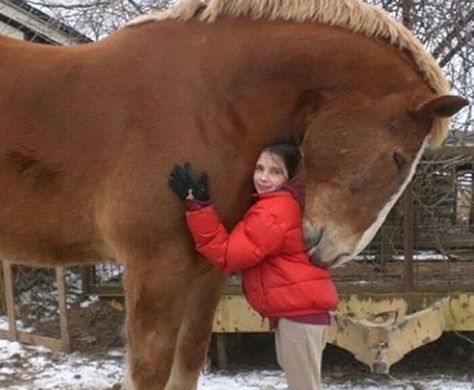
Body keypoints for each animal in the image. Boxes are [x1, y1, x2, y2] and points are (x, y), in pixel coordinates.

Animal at [0, 0, 466, 388]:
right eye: (399, 158)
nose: (335, 252)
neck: (205, 104)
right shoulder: (155, 269)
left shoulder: (206, 272)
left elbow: (186, 366)